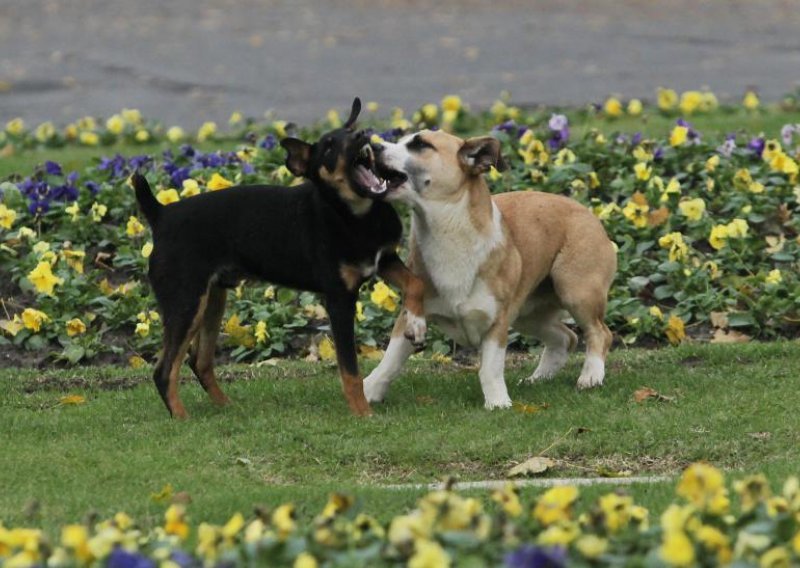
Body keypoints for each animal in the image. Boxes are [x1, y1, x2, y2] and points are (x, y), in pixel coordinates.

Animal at [133, 98, 424, 418]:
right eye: (329, 148)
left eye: (351, 132)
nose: (363, 136)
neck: (355, 216)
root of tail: (161, 215)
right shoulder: (339, 300)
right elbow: (350, 369)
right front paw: (362, 414)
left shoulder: (385, 260)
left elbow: (416, 283)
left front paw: (416, 326)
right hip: (186, 303)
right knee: (164, 370)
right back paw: (183, 418)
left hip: (211, 299)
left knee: (199, 360)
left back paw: (227, 407)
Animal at [368, 129, 620, 408]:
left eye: (421, 144)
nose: (372, 146)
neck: (448, 234)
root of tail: (588, 213)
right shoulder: (409, 317)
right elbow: (389, 362)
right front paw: (369, 392)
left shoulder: (497, 324)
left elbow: (489, 368)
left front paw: (497, 402)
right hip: (526, 313)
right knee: (566, 338)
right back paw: (539, 378)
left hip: (575, 292)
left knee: (600, 333)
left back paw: (591, 376)